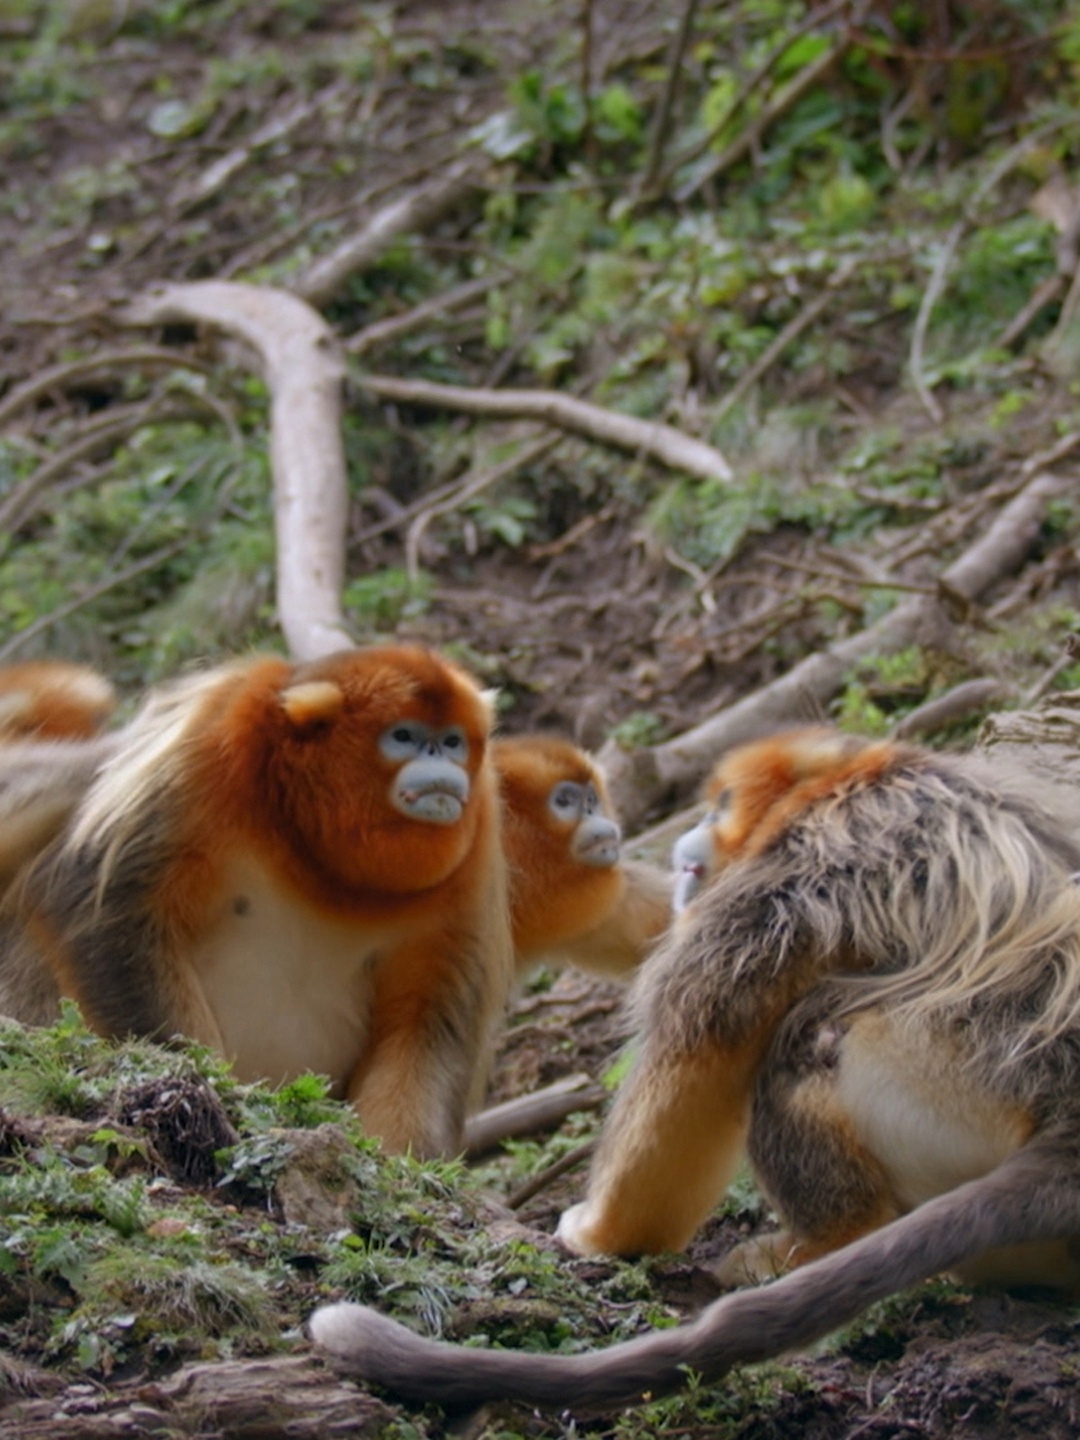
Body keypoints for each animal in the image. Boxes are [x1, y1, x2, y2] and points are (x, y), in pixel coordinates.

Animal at [0, 645, 513, 1158]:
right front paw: (205, 1093)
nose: (440, 759)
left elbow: (428, 1024)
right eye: (404, 737)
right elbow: (95, 908)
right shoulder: (206, 744)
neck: (318, 865)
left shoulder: (475, 846)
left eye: (452, 742)